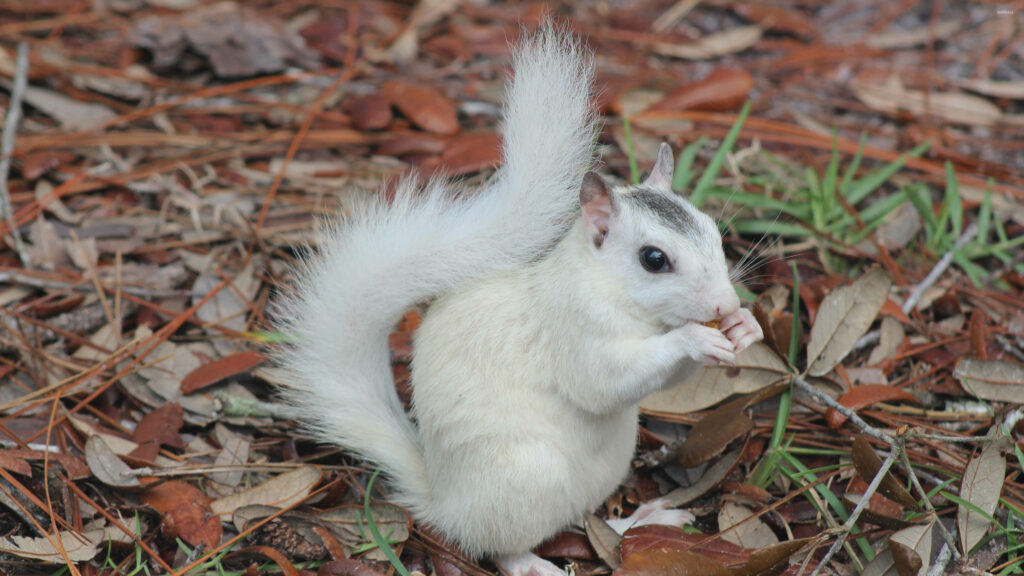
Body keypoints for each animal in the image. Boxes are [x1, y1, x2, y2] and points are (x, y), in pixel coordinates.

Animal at [274, 25, 764, 576]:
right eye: (653, 259)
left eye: (713, 232)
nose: (722, 305)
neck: (615, 293)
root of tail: (446, 504)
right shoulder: (572, 326)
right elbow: (602, 381)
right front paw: (692, 339)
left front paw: (745, 327)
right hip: (527, 476)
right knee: (504, 546)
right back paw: (537, 563)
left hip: (608, 464)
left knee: (585, 521)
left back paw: (637, 522)